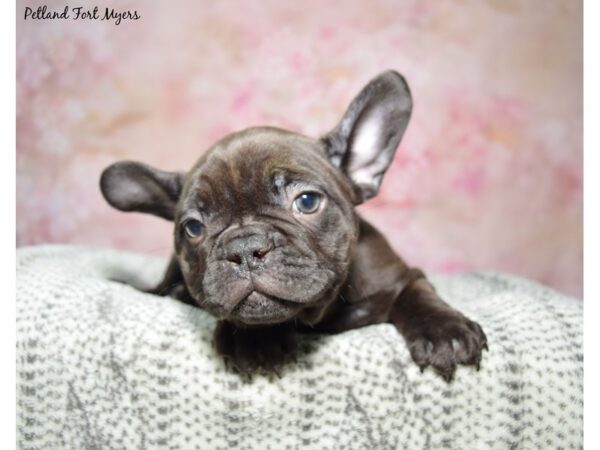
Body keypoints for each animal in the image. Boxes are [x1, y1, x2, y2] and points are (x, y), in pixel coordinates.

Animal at [101, 70, 488, 380]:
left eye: (307, 202)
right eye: (193, 228)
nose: (244, 249)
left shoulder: (400, 275)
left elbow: (417, 293)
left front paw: (445, 332)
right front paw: (256, 340)